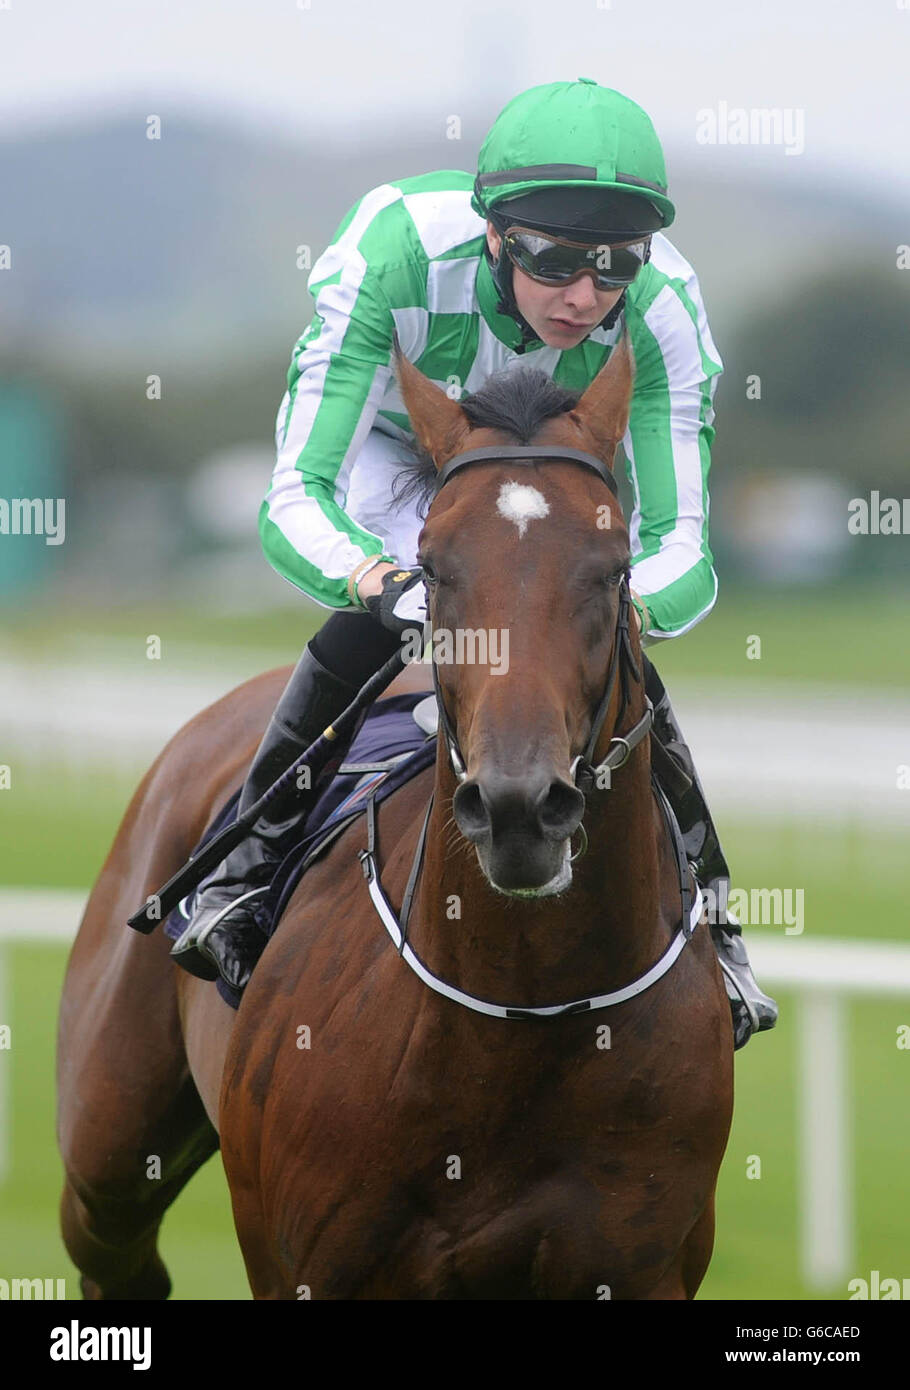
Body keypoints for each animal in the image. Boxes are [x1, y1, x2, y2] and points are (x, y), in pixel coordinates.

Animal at [56, 339, 739, 1301]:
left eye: (614, 569)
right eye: (434, 565)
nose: (519, 807)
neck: (528, 1012)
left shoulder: (637, 1268)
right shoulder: (312, 1270)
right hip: (109, 1154)